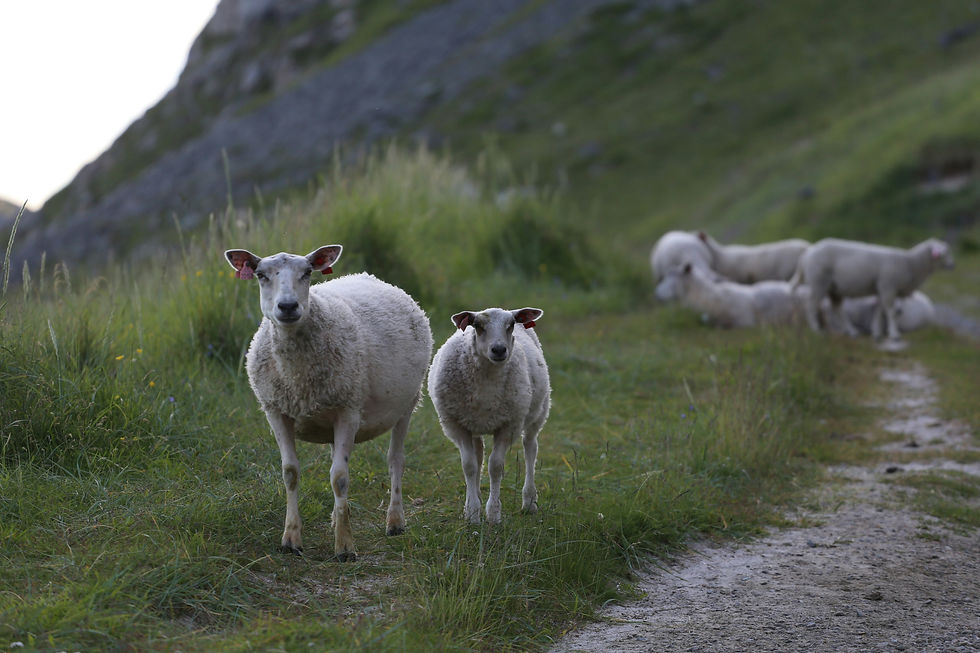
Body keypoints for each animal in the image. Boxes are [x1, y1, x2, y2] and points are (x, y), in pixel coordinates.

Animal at [225, 244, 433, 561]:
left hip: (407, 403)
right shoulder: (276, 411)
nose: (288, 307)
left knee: (395, 460)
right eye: (260, 275)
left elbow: (340, 478)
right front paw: (291, 539)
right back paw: (338, 516)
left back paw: (395, 521)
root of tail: (369, 275)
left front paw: (345, 547)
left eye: (307, 272)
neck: (297, 377)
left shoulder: (348, 411)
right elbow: (290, 473)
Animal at [427, 307, 550, 524]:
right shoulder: (457, 425)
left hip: (538, 412)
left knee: (530, 448)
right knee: (478, 455)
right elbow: (469, 466)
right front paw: (473, 513)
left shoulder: (508, 426)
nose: (499, 350)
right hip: (474, 422)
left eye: (510, 324)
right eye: (477, 325)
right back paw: (474, 500)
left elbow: (496, 467)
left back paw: (529, 502)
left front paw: (493, 514)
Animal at [793, 237, 954, 340]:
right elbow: (890, 312)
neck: (910, 263)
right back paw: (816, 329)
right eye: (943, 253)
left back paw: (850, 331)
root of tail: (807, 253)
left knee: (837, 308)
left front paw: (877, 332)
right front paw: (894, 334)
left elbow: (879, 310)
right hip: (818, 282)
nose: (952, 265)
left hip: (834, 288)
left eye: (948, 251)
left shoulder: (882, 288)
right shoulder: (888, 286)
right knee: (811, 305)